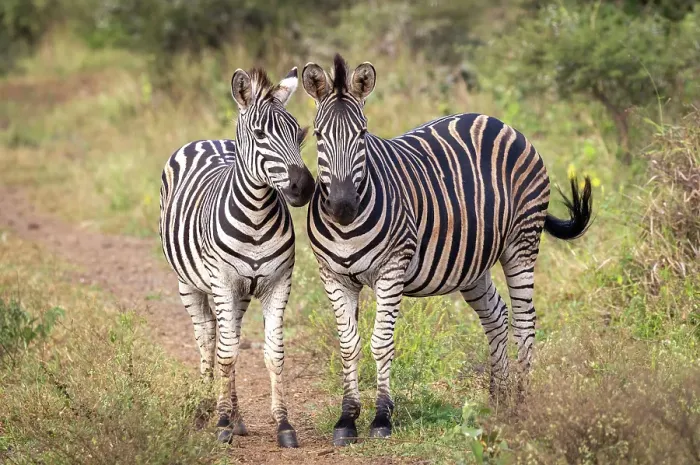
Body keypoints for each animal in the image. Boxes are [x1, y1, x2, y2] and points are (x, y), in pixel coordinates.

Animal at [159, 66, 314, 448]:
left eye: (299, 134)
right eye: (260, 134)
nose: (304, 188)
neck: (256, 217)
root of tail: (207, 140)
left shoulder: (278, 284)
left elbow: (273, 354)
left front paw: (283, 425)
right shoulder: (224, 283)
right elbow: (225, 354)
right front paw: (221, 423)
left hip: (240, 293)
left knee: (228, 336)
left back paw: (237, 416)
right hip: (190, 284)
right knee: (208, 337)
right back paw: (207, 409)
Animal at [300, 54, 593, 446]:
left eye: (362, 134)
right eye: (318, 136)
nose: (343, 206)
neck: (348, 226)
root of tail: (498, 122)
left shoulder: (391, 269)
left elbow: (381, 342)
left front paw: (382, 417)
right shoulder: (333, 275)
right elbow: (349, 345)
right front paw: (346, 419)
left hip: (522, 242)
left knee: (525, 319)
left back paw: (520, 400)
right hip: (473, 262)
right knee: (496, 314)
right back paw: (498, 398)